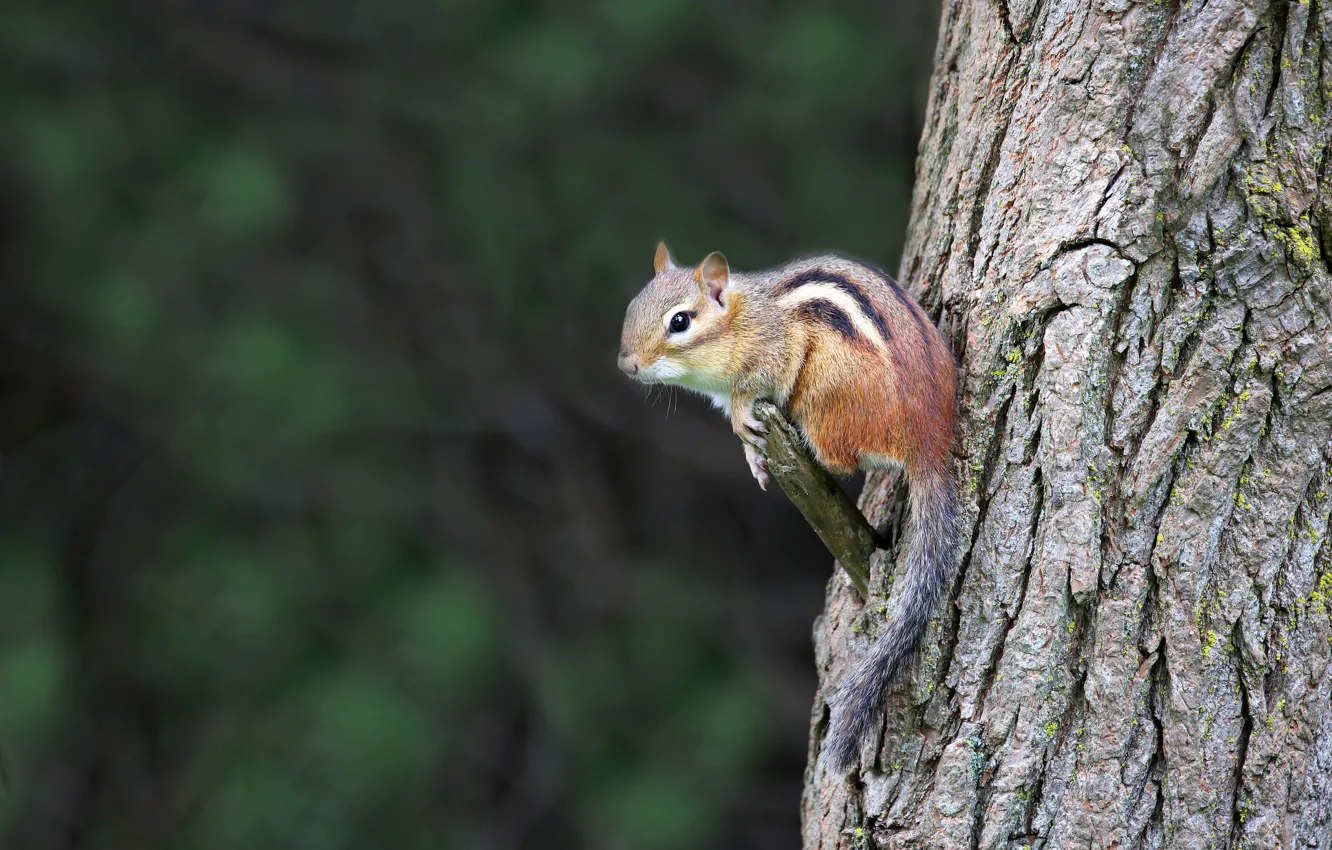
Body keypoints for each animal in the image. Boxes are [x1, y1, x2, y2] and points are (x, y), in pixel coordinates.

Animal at [618, 242, 961, 771]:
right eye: (633, 305)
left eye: (680, 321)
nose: (627, 365)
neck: (742, 318)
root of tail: (930, 439)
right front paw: (752, 459)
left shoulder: (774, 353)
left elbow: (752, 391)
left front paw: (742, 418)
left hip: (826, 395)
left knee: (842, 458)